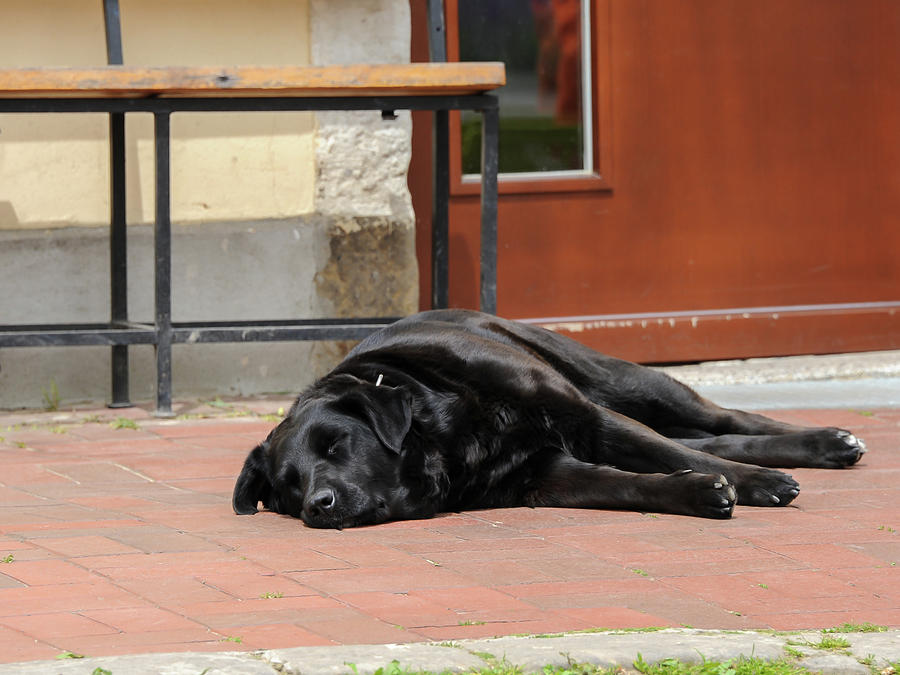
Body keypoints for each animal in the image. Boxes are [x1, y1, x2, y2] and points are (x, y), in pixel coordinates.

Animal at [232, 310, 864, 528]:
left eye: (336, 445)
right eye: (290, 486)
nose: (318, 506)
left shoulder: (584, 417)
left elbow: (675, 453)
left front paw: (759, 484)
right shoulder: (545, 474)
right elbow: (627, 485)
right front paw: (695, 493)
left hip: (622, 382)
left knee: (721, 418)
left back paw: (830, 442)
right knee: (717, 439)